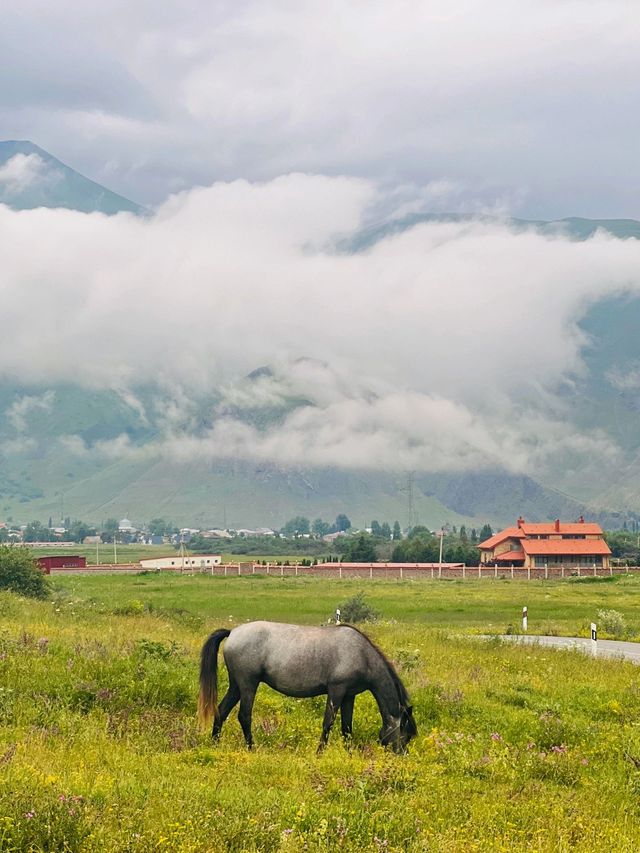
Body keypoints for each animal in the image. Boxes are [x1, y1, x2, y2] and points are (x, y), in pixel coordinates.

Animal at [196, 620, 416, 752]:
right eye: (405, 735)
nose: (403, 755)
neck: (361, 654)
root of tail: (233, 632)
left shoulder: (349, 695)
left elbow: (346, 726)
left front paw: (348, 752)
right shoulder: (336, 690)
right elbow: (328, 723)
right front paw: (320, 752)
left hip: (236, 686)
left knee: (221, 711)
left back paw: (214, 744)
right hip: (248, 684)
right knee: (244, 716)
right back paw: (251, 747)